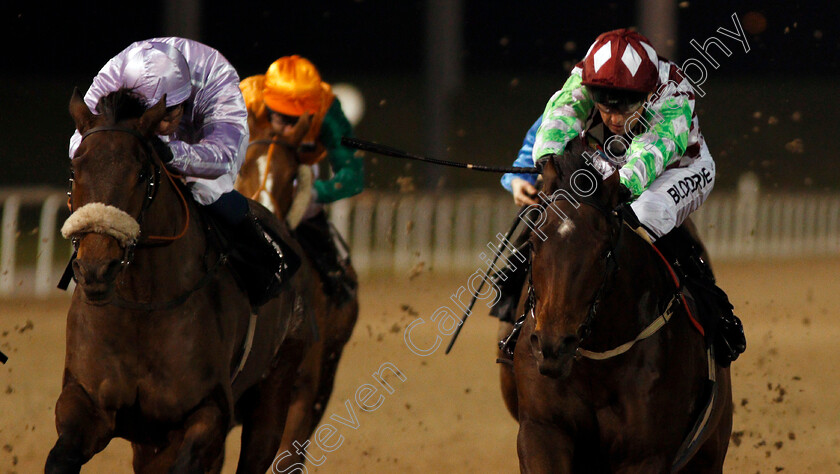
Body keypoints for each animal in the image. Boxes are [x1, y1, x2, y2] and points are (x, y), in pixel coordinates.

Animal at [50, 88, 318, 470]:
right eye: (76, 168)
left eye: (142, 173)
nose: (96, 268)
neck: (142, 306)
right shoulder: (87, 402)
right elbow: (61, 455)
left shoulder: (206, 412)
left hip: (277, 387)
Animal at [502, 140, 732, 470]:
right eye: (532, 243)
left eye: (603, 251)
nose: (552, 346)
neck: (596, 364)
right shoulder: (541, 430)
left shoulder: (646, 454)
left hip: (709, 453)